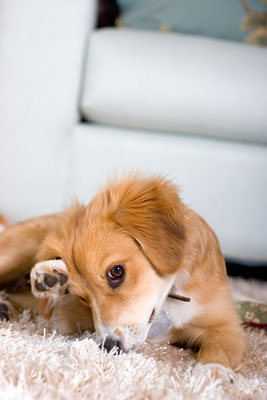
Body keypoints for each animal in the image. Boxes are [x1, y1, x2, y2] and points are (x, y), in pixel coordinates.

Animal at [0, 177, 247, 370]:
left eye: (116, 271)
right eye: (82, 298)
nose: (110, 347)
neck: (171, 295)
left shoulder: (227, 326)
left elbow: (218, 349)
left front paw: (213, 374)